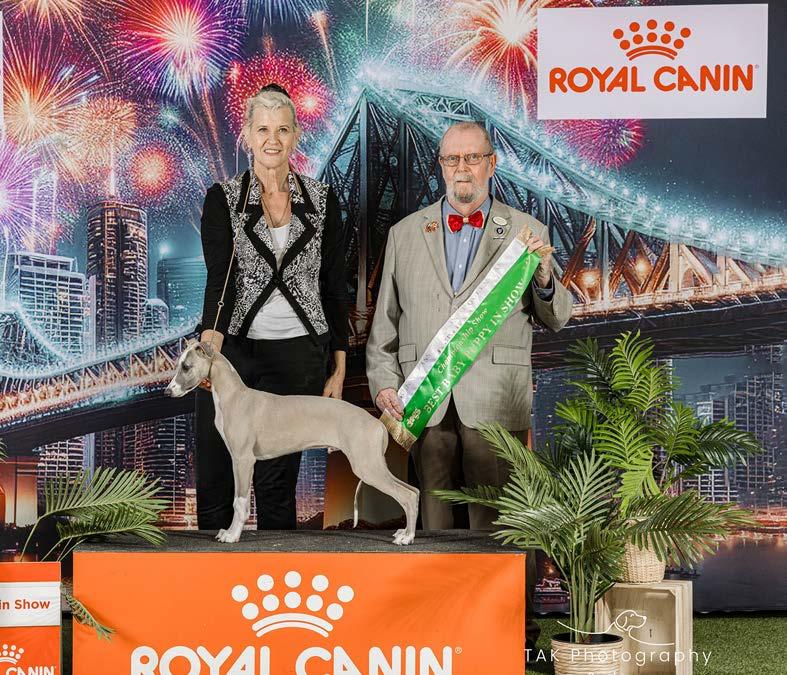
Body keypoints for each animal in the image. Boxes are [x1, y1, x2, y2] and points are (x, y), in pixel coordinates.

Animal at [165, 340, 419, 545]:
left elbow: (240, 502)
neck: (235, 396)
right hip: (374, 465)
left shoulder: (243, 460)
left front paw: (232, 535)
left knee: (407, 495)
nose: (167, 392)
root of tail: (377, 424)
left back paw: (406, 537)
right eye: (178, 365)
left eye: (186, 366)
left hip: (367, 466)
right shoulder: (238, 461)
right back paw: (403, 532)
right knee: (413, 491)